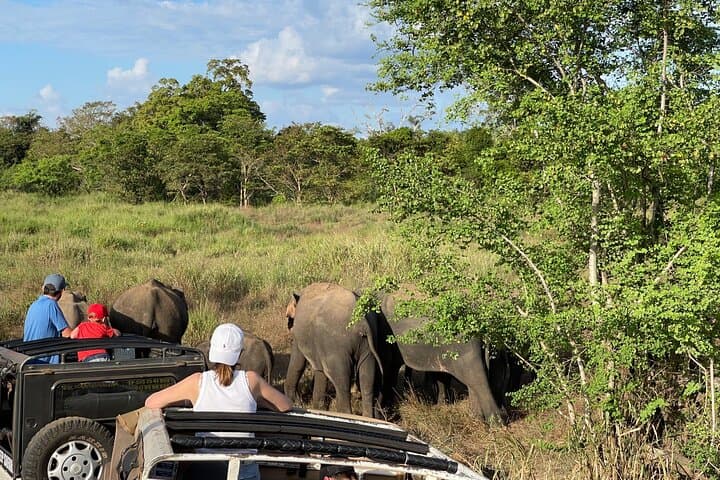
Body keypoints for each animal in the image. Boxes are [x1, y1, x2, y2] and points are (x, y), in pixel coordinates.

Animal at [284, 282, 384, 418]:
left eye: (289, 318)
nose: (288, 326)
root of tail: (363, 322)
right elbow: (320, 370)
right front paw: (318, 408)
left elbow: (298, 361)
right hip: (368, 345)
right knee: (367, 380)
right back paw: (367, 417)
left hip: (337, 347)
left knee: (341, 382)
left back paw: (345, 414)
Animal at [380, 292, 508, 424]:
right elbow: (441, 375)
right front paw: (441, 406)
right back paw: (478, 418)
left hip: (466, 350)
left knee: (479, 383)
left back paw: (496, 425)